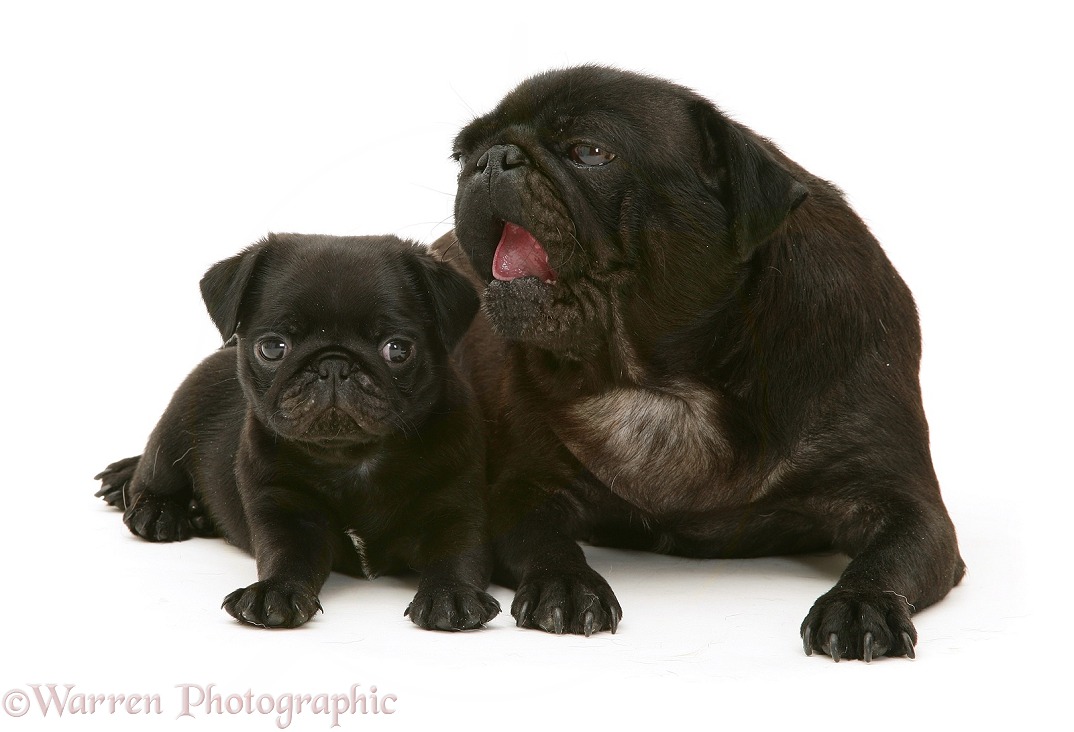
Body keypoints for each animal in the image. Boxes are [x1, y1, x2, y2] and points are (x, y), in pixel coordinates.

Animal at [94, 231, 496, 626]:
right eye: (273, 348)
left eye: (397, 350)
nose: (333, 364)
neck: (353, 457)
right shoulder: (285, 511)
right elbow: (286, 557)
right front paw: (275, 592)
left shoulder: (454, 507)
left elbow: (457, 555)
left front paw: (451, 596)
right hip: (179, 417)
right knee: (156, 468)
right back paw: (157, 509)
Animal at [436, 65, 966, 656]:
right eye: (462, 153)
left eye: (590, 152)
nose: (493, 157)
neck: (667, 385)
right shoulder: (524, 492)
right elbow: (546, 544)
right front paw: (566, 585)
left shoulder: (905, 506)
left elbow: (887, 560)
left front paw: (861, 604)